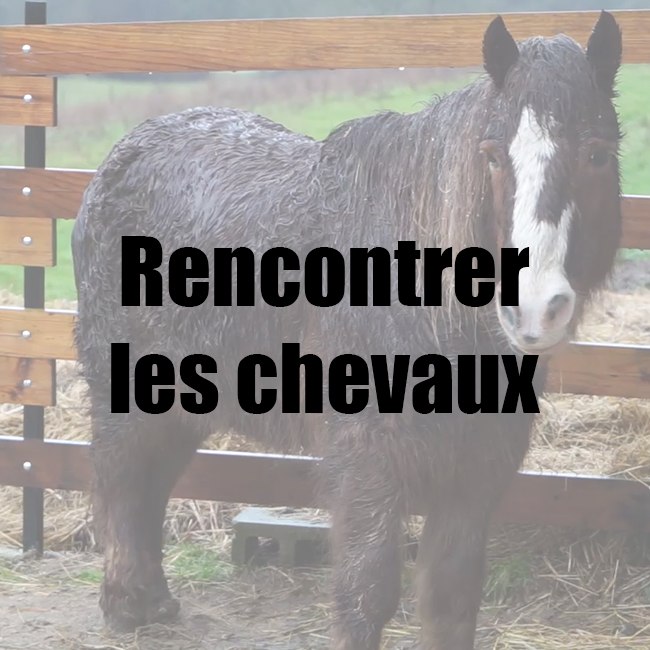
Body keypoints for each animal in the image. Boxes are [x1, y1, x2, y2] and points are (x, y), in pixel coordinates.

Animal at [71, 11, 623, 649]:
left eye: (597, 154)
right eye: (490, 156)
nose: (532, 308)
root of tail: (119, 157)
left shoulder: (479, 467)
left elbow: (452, 597)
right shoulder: (368, 466)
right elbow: (367, 594)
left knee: (152, 481)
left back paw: (152, 601)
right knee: (121, 479)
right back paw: (126, 606)